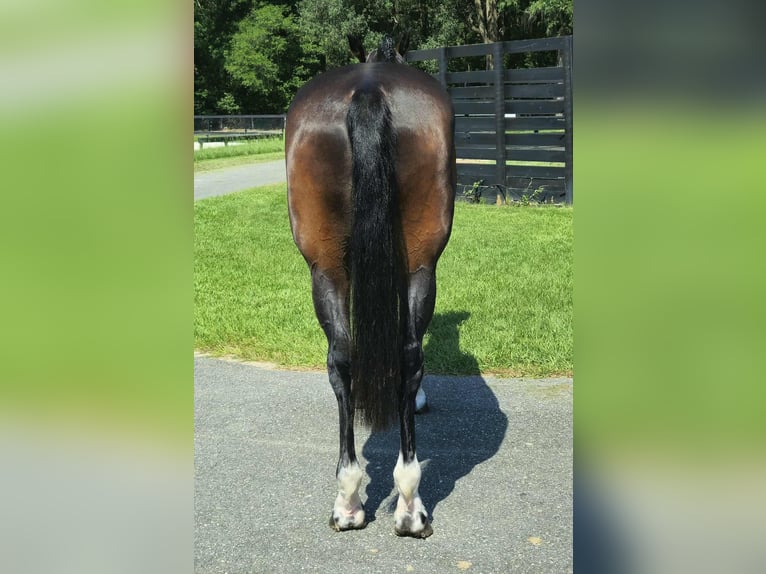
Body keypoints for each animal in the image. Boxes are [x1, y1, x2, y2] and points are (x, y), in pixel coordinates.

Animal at [285, 34, 456, 538]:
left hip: (326, 268)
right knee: (404, 355)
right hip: (416, 265)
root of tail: (368, 90)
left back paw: (354, 499)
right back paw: (405, 505)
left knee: (343, 358)